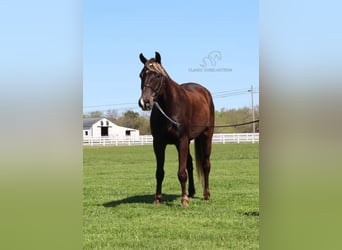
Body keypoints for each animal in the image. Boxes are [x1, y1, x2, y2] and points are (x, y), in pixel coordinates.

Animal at [138, 51, 214, 206]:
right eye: (141, 75)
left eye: (158, 75)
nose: (145, 102)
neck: (170, 107)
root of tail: (205, 92)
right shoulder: (158, 144)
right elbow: (159, 172)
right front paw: (157, 198)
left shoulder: (181, 141)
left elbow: (181, 172)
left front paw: (183, 200)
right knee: (190, 164)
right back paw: (191, 192)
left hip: (206, 136)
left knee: (206, 164)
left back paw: (206, 194)